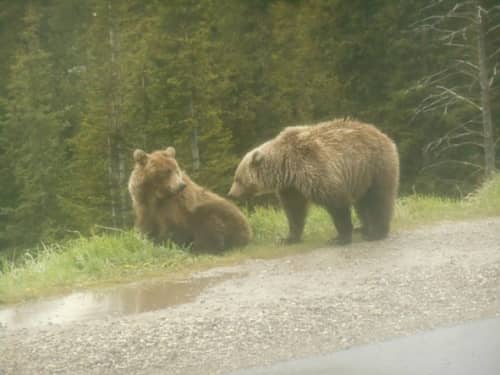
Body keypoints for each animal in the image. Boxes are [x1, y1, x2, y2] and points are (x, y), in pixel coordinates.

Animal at [229, 119, 398, 245]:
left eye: (238, 178)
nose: (231, 194)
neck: (286, 167)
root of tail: (385, 136)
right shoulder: (291, 187)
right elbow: (294, 210)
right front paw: (288, 238)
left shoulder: (316, 169)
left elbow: (337, 204)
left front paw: (339, 238)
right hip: (361, 178)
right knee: (362, 203)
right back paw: (363, 228)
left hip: (374, 167)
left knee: (377, 199)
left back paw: (376, 232)